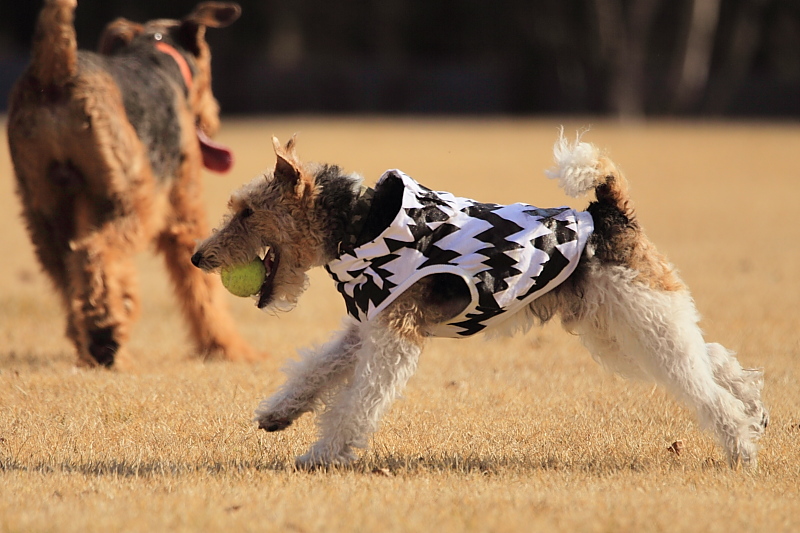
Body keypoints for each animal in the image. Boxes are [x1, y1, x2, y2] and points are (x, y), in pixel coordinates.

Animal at [7, 0, 258, 366]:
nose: (214, 117)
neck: (156, 54)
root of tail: (55, 70)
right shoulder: (185, 210)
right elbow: (202, 289)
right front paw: (228, 349)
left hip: (44, 209)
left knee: (69, 273)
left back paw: (97, 340)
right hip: (130, 198)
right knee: (95, 252)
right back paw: (106, 335)